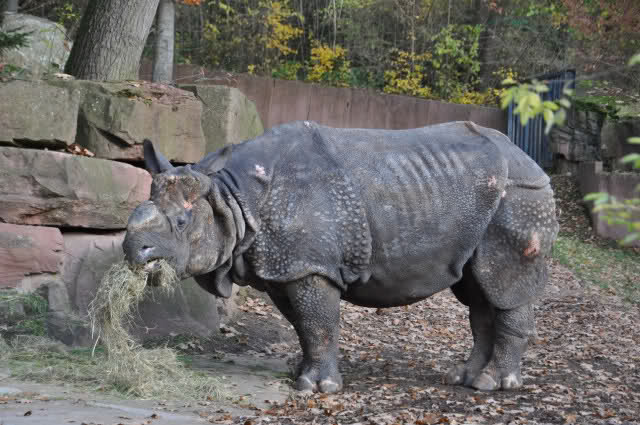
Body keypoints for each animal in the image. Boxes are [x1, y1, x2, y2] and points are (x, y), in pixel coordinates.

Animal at [123, 120, 559, 393]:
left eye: (181, 223)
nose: (131, 249)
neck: (231, 198)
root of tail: (532, 160)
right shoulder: (287, 266)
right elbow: (304, 326)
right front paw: (299, 373)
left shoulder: (310, 267)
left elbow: (319, 323)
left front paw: (318, 387)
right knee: (478, 293)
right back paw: (464, 378)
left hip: (521, 197)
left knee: (503, 286)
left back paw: (493, 385)